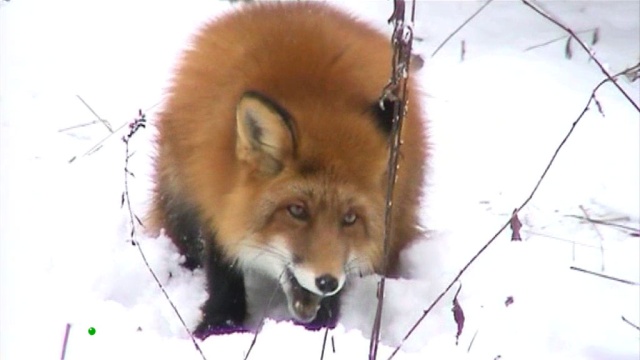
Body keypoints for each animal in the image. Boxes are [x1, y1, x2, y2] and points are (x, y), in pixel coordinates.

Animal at [149, 1, 428, 338]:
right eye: (296, 210)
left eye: (350, 219)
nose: (327, 281)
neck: (316, 97)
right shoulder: (217, 195)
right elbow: (223, 267)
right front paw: (219, 325)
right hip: (176, 196)